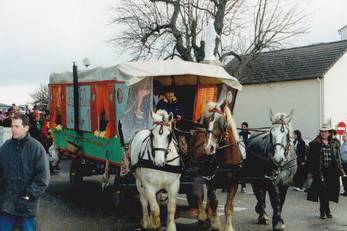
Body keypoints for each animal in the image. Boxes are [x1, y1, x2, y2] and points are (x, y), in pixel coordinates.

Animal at [188, 102, 242, 230]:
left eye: (222, 123)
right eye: (206, 122)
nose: (209, 148)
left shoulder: (234, 184)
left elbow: (228, 207)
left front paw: (228, 227)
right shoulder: (211, 182)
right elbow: (214, 202)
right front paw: (216, 223)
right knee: (199, 195)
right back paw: (203, 216)